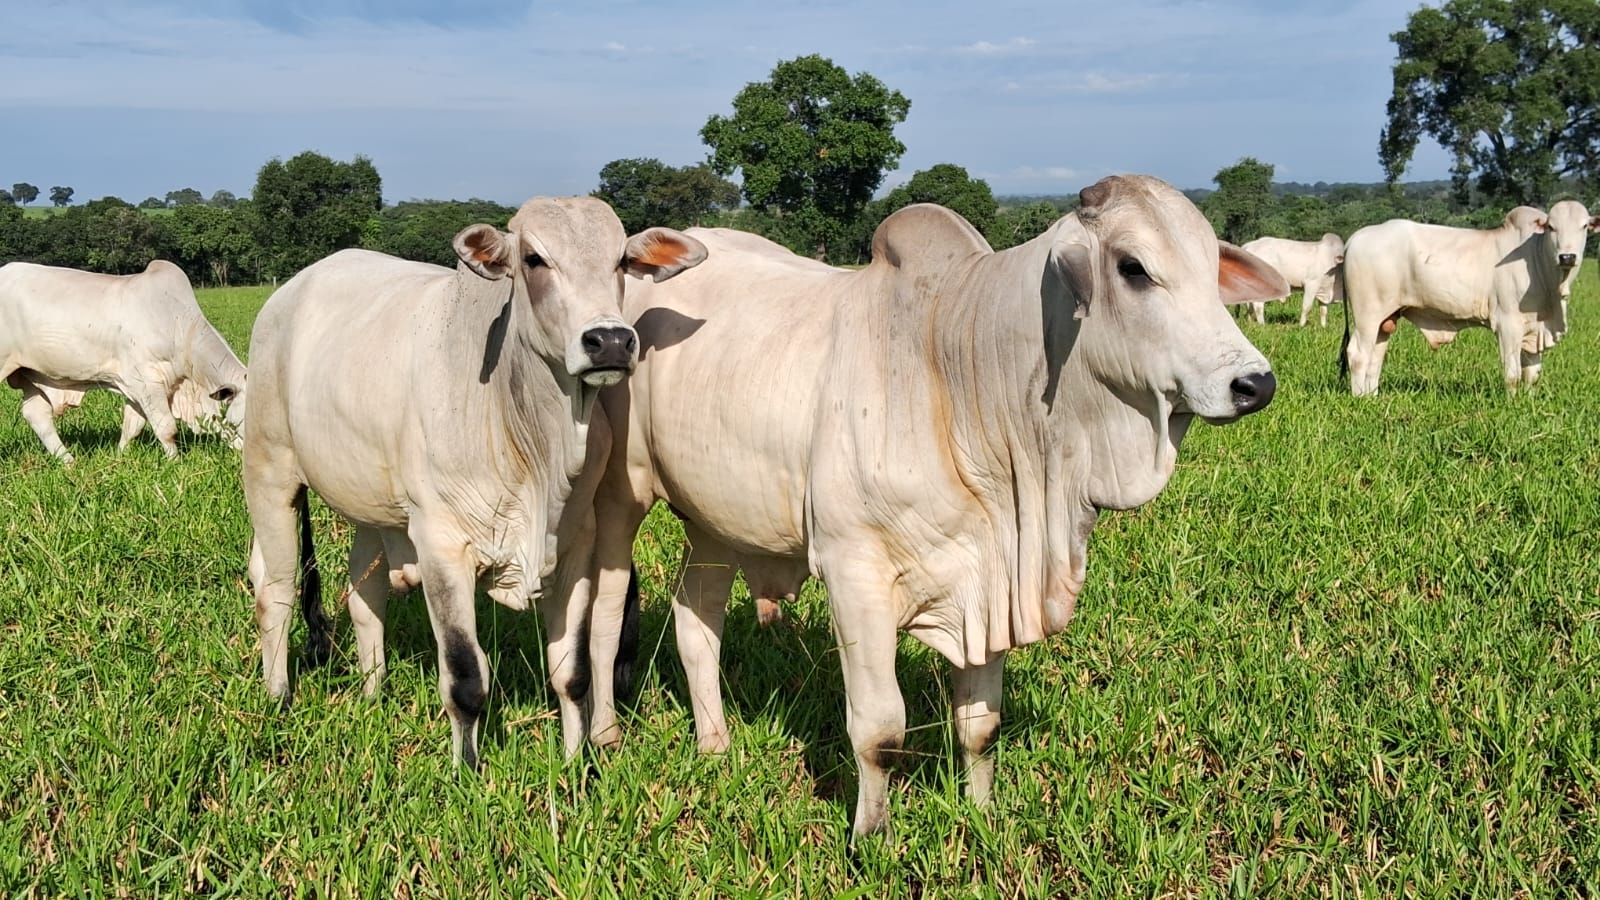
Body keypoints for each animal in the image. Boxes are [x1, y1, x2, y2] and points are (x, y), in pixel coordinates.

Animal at [0, 257, 246, 458]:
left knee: (37, 415)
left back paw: (69, 462)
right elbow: (166, 428)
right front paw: (175, 463)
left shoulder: (135, 388)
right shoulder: (148, 382)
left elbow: (131, 427)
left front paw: (119, 458)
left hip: (28, 373)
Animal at [243, 194, 707, 762]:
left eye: (622, 259)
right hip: (269, 472)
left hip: (371, 511)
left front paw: (578, 764)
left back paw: (373, 693)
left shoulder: (576, 547)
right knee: (276, 590)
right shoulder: (442, 547)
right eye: (533, 259)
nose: (611, 341)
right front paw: (467, 769)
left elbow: (571, 673)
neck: (531, 436)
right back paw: (278, 696)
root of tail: (288, 292)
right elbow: (465, 677)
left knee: (364, 594)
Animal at [582, 175, 1292, 832]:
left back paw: (715, 744)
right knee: (608, 614)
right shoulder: (854, 574)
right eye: (1133, 267)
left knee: (696, 617)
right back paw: (606, 740)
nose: (1254, 383)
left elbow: (980, 724)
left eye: (1210, 265)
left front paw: (981, 816)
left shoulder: (995, 572)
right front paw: (870, 837)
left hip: (717, 520)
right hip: (619, 498)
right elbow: (879, 729)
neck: (964, 371)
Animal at [1344, 201, 1593, 393]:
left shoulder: (1534, 329)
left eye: (1584, 227)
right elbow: (1513, 374)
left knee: (1376, 356)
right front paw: (1512, 403)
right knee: (1358, 354)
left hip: (1387, 318)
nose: (1567, 257)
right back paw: (1360, 399)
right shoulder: (1508, 324)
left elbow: (1531, 375)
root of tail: (1356, 237)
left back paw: (1372, 396)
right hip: (1367, 315)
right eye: (1552, 227)